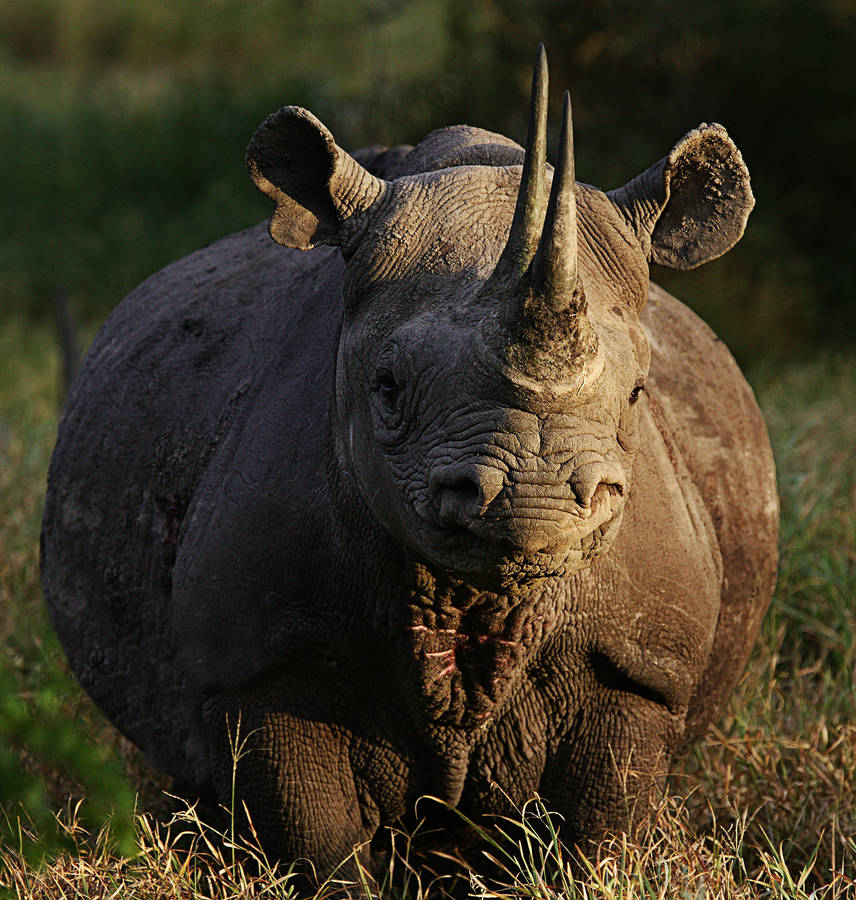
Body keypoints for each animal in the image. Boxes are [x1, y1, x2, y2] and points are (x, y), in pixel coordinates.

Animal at [41, 47, 778, 876]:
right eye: (386, 388)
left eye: (638, 395)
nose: (535, 505)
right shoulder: (260, 662)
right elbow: (318, 844)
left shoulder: (641, 666)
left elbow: (596, 831)